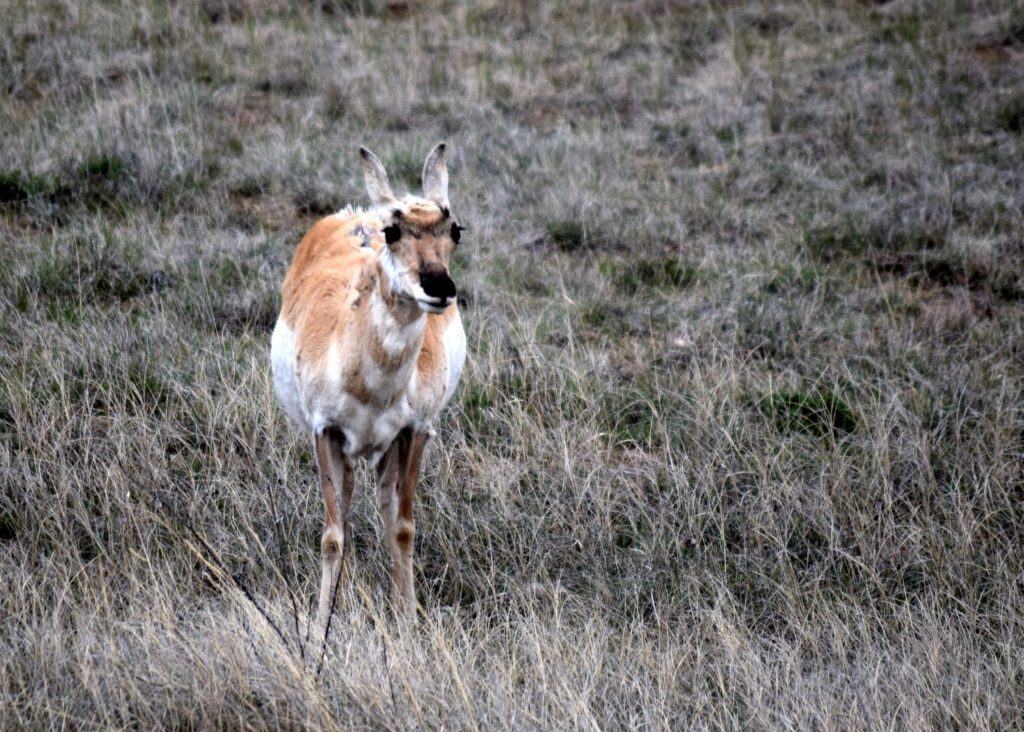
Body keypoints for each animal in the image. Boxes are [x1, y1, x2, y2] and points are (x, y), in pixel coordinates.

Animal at [270, 143, 466, 622]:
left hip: (384, 451)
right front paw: (319, 626)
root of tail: (355, 214)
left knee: (383, 506)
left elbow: (402, 527)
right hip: (349, 451)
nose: (440, 287)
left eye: (455, 230)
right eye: (393, 231)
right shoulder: (325, 432)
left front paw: (408, 621)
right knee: (347, 507)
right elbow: (332, 536)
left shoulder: (415, 432)